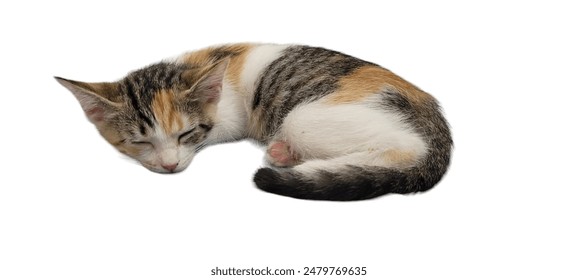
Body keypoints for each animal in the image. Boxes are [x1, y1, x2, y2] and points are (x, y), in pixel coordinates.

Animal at [55, 42, 450, 200]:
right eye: (139, 141)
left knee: (403, 148)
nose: (169, 166)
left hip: (304, 116)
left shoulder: (231, 117)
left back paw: (294, 161)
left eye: (186, 134)